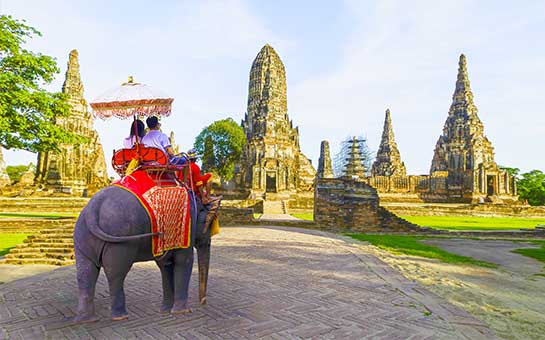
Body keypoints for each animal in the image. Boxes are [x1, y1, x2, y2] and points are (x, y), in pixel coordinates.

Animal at [73, 185, 214, 322]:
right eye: (210, 224)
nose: (203, 302)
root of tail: (93, 208)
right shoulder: (186, 227)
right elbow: (184, 261)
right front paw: (183, 311)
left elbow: (165, 265)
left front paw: (165, 310)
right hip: (120, 240)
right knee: (115, 273)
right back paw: (120, 317)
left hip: (82, 235)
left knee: (85, 273)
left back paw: (87, 320)